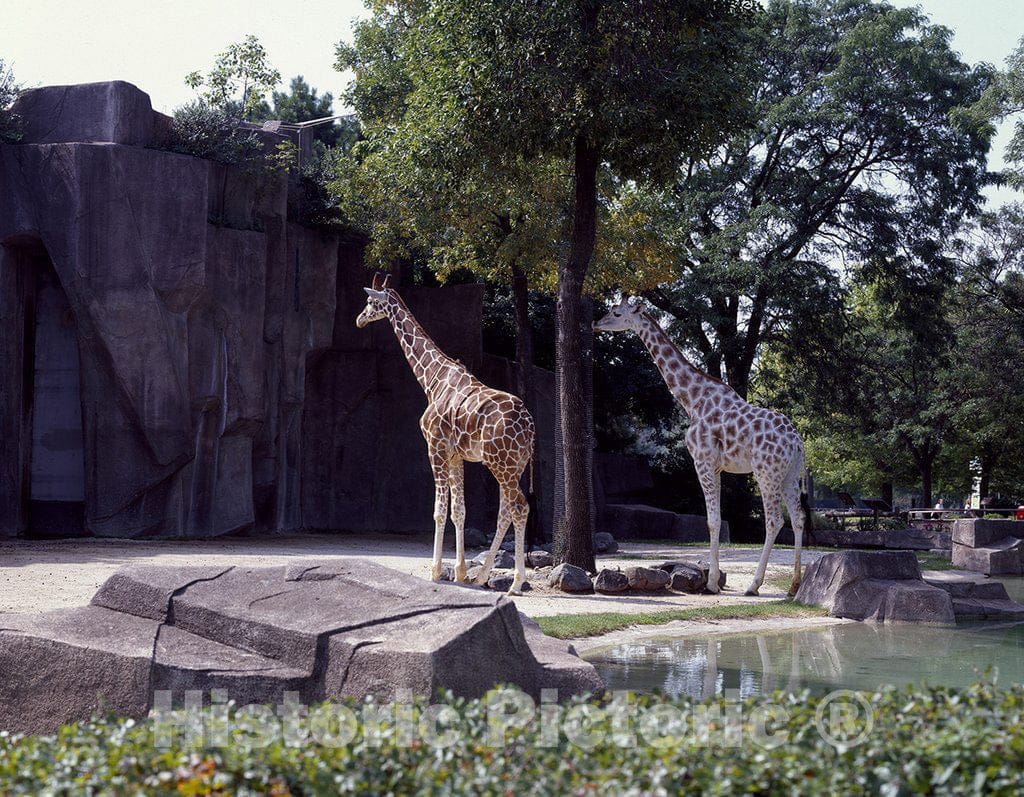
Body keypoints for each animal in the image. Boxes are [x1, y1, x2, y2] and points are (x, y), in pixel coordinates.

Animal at [356, 273, 536, 594]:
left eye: (368, 301)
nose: (359, 320)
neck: (432, 379)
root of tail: (529, 426)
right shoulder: (455, 455)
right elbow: (459, 511)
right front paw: (461, 573)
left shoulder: (435, 446)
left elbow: (439, 510)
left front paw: (436, 571)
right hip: (514, 465)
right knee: (505, 512)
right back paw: (482, 576)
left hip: (500, 464)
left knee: (519, 508)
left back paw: (516, 582)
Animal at [593, 297, 808, 596]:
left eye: (615, 313)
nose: (595, 323)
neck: (692, 400)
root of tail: (797, 443)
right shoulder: (717, 467)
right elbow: (716, 518)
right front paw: (713, 580)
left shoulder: (702, 461)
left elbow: (712, 520)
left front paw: (711, 583)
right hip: (789, 474)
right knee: (799, 517)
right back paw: (794, 585)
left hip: (767, 473)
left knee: (775, 520)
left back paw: (754, 585)